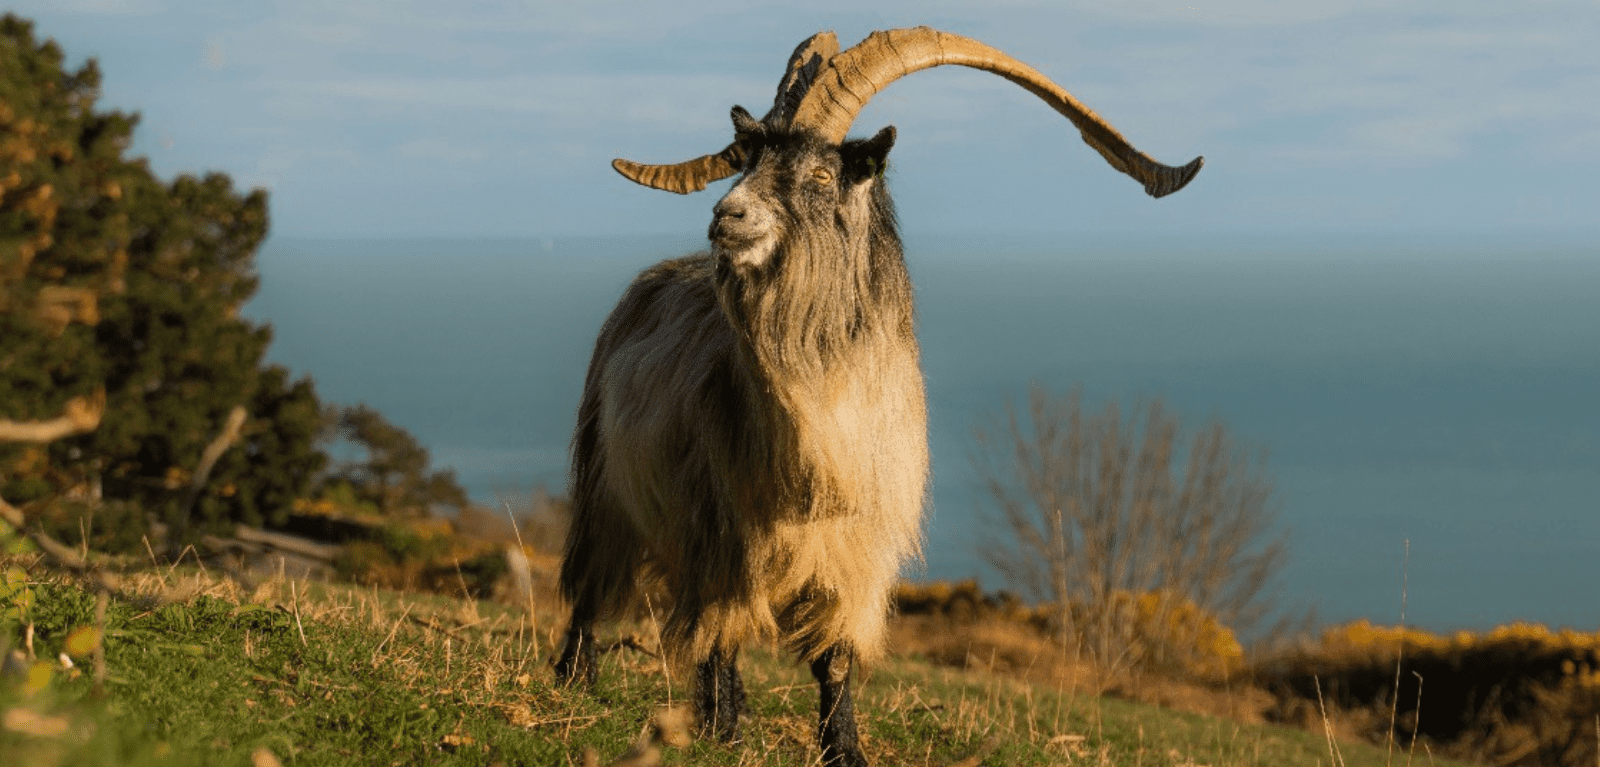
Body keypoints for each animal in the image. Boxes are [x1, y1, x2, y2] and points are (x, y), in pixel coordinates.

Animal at [553, 27, 1203, 767]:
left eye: (820, 176)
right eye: (750, 163)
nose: (726, 215)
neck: (821, 416)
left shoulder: (856, 551)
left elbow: (833, 657)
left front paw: (843, 749)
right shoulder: (720, 530)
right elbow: (721, 633)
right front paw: (730, 733)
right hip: (605, 487)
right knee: (595, 586)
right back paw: (578, 677)